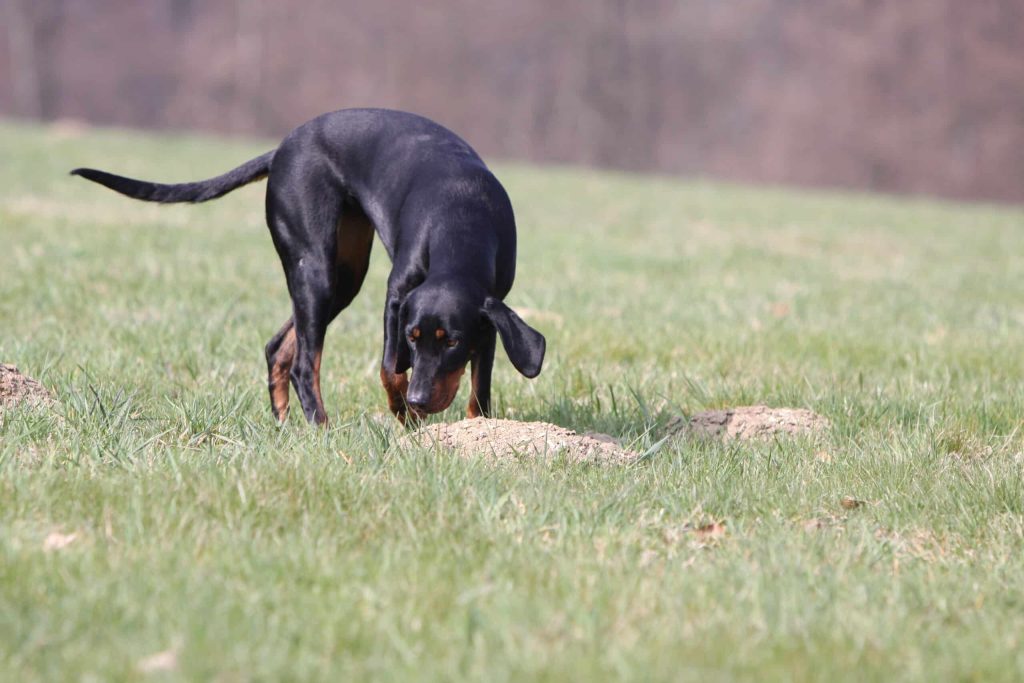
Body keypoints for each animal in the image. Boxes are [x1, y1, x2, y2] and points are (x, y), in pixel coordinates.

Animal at [73, 109, 548, 423]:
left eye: (452, 342)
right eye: (414, 338)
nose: (418, 400)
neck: (462, 214)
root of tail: (281, 149)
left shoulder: (490, 315)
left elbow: (479, 389)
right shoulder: (397, 298)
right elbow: (390, 367)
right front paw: (402, 412)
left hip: (342, 276)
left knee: (279, 347)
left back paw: (285, 423)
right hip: (315, 268)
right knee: (305, 362)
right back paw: (321, 429)